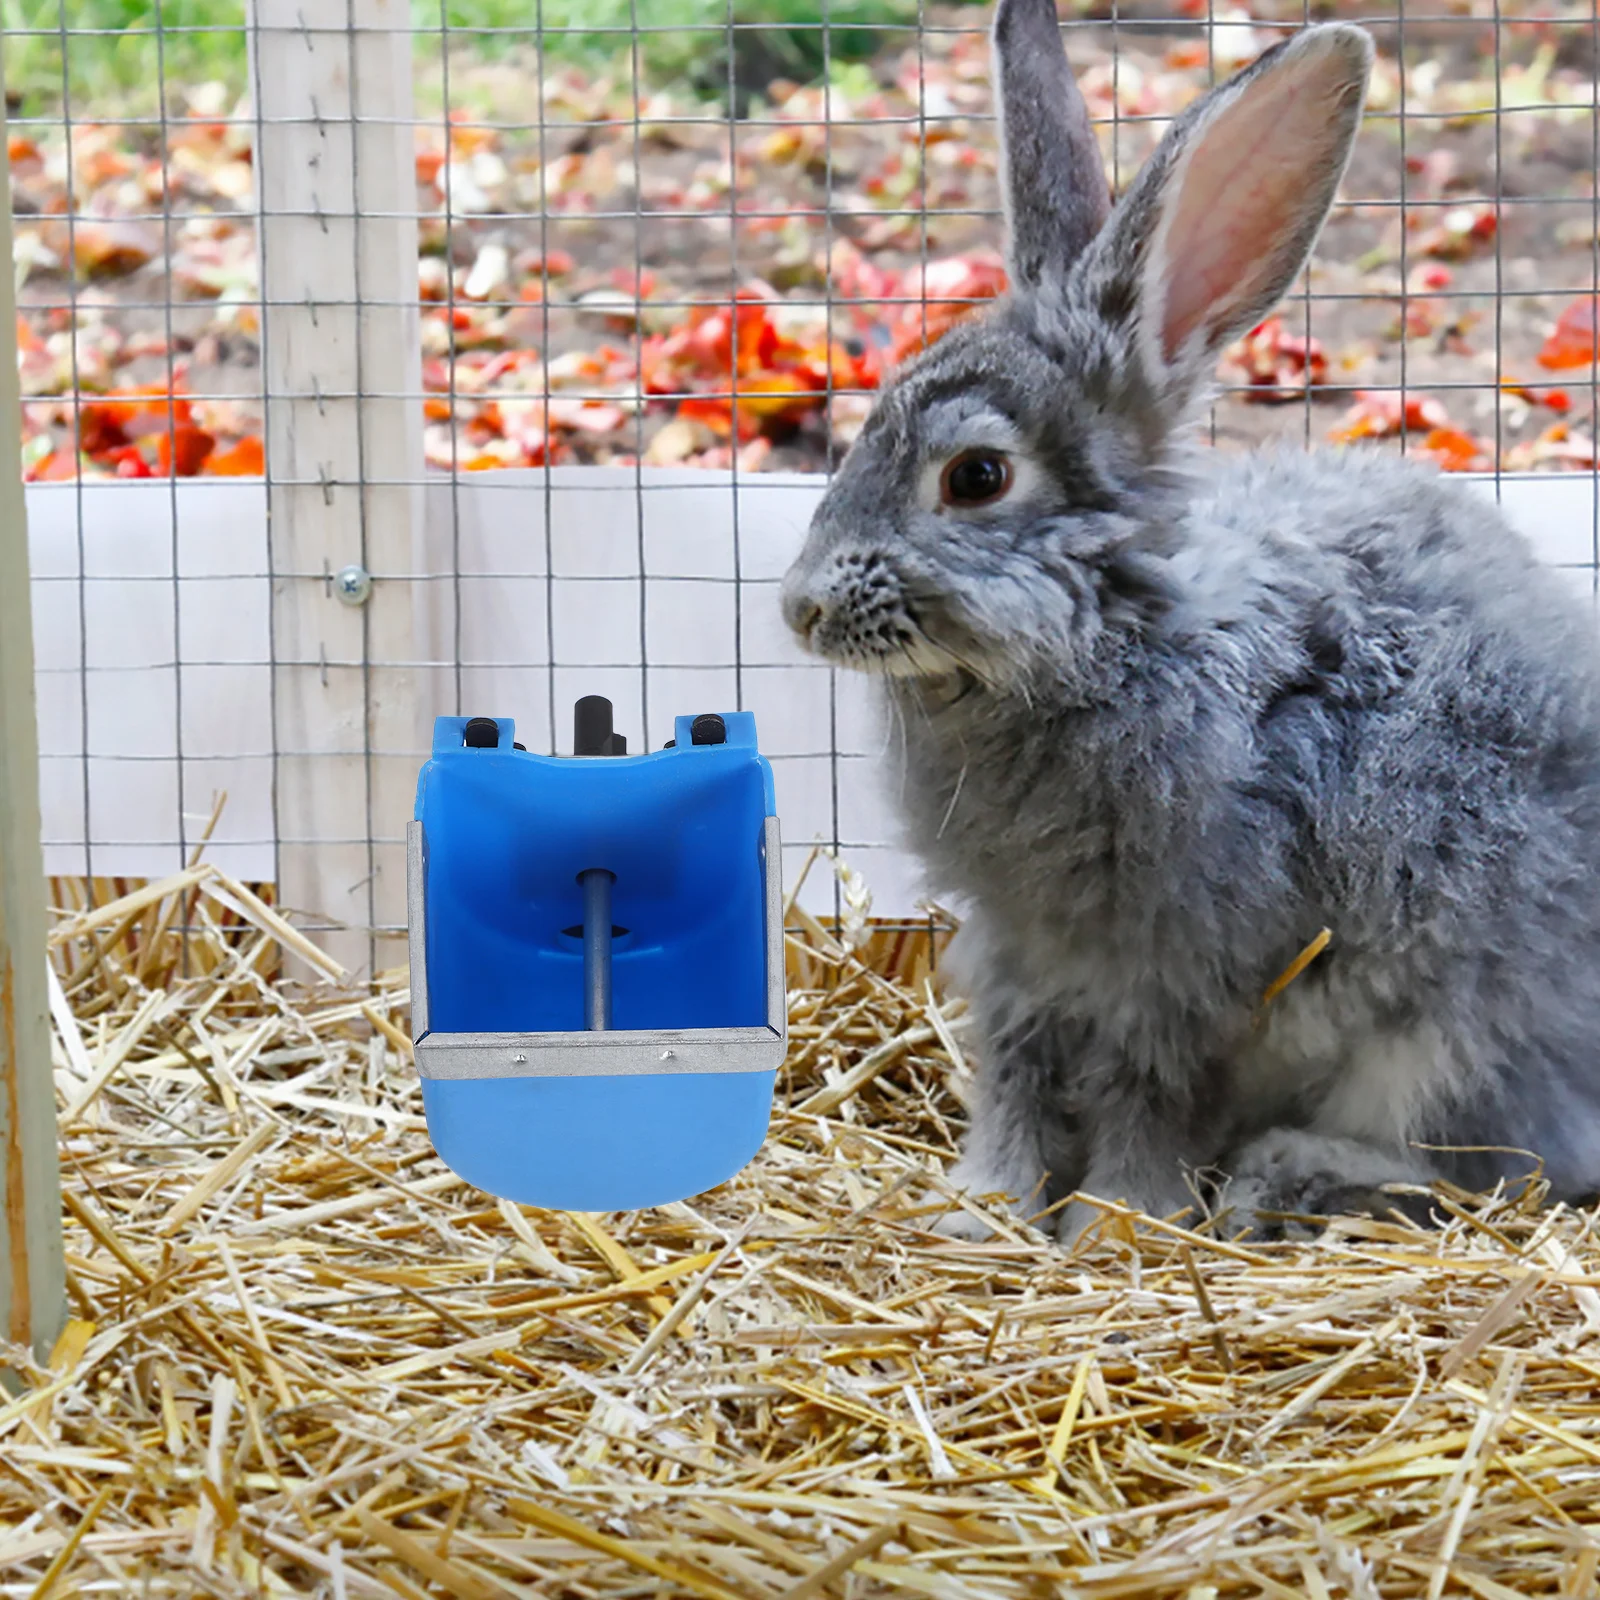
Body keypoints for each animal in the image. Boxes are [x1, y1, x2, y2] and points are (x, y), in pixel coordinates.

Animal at [779, 0, 1600, 1243]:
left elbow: (1146, 1095)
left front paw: (1118, 1222)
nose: (801, 606)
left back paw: (1288, 1179)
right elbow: (1014, 1078)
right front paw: (982, 1210)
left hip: (1458, 1027)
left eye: (975, 477)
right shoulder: (1018, 957)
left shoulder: (1183, 971)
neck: (1112, 638)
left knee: (1497, 1163)